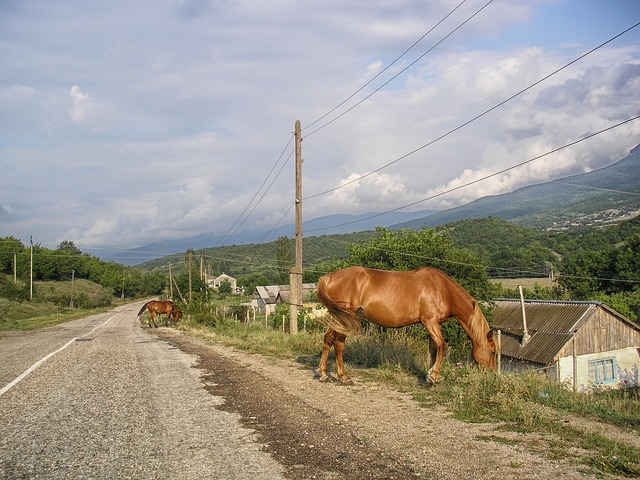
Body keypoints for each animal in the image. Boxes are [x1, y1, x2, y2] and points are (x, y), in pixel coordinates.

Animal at [318, 264, 498, 384]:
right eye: (492, 352)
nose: (491, 375)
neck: (442, 289)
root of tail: (330, 277)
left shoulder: (434, 324)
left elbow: (433, 349)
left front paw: (430, 375)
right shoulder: (430, 322)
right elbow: (442, 346)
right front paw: (434, 375)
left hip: (338, 318)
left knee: (328, 339)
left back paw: (324, 374)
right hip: (345, 318)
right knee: (339, 343)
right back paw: (344, 376)